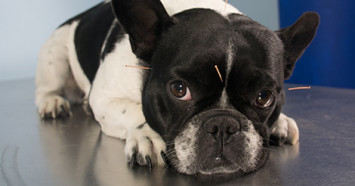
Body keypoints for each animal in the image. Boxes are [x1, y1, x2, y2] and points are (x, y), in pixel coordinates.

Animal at [36, 0, 320, 177]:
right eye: (179, 90)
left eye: (264, 97)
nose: (223, 125)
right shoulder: (104, 98)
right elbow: (135, 111)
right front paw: (147, 137)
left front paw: (281, 122)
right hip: (55, 58)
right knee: (47, 87)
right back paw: (51, 102)